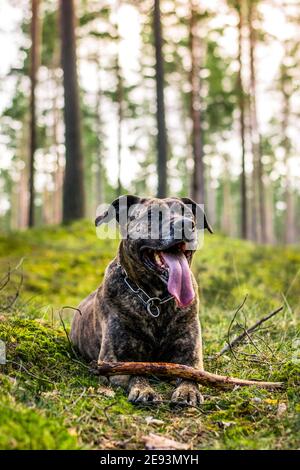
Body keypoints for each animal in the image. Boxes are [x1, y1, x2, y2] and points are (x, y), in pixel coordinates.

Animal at [70, 196, 212, 406]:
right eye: (152, 215)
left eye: (188, 214)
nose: (186, 224)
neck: (155, 299)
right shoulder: (115, 360)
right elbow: (137, 371)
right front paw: (144, 389)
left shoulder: (191, 355)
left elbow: (190, 374)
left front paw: (187, 391)